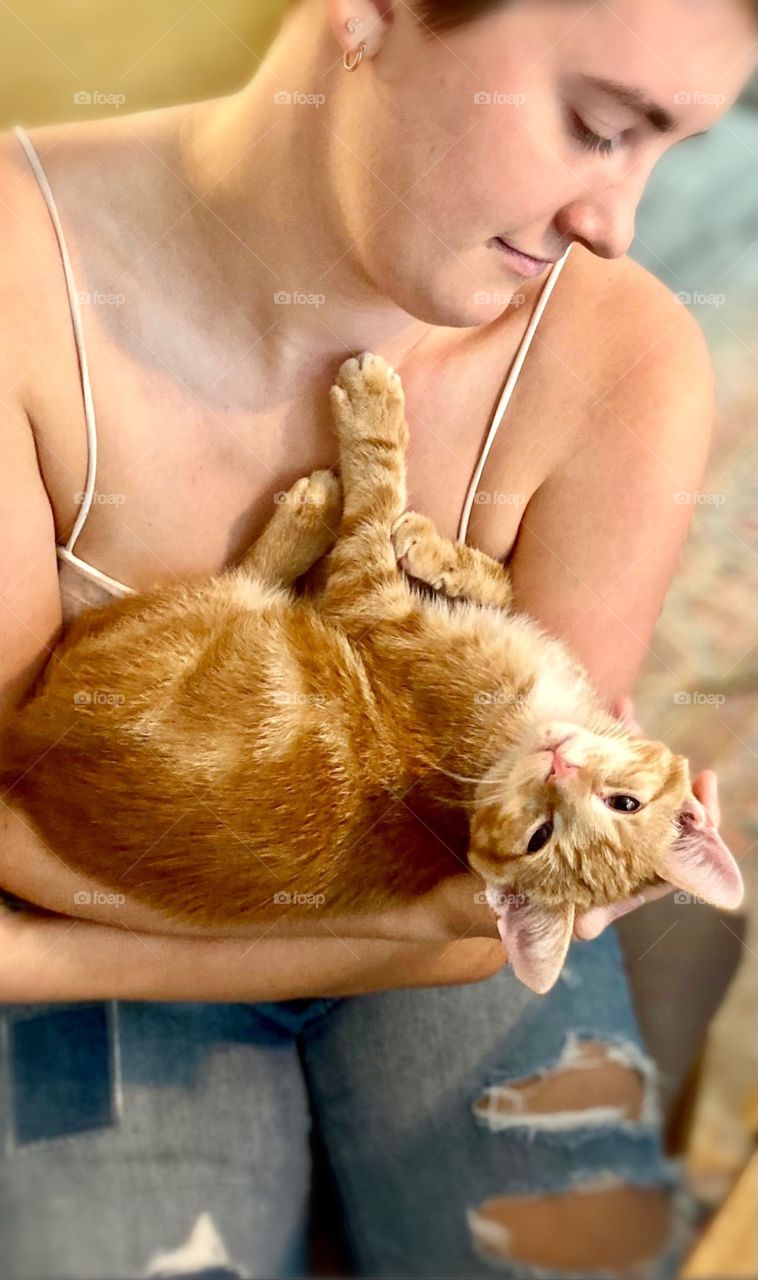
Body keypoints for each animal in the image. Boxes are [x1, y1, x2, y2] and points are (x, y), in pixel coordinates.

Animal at [0, 355, 742, 993]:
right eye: (626, 803)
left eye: (542, 837)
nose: (561, 766)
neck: (512, 733)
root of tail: (26, 743)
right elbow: (498, 584)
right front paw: (440, 554)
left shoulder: (368, 603)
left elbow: (376, 495)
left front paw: (371, 413)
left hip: (204, 612)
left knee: (250, 573)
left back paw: (310, 508)